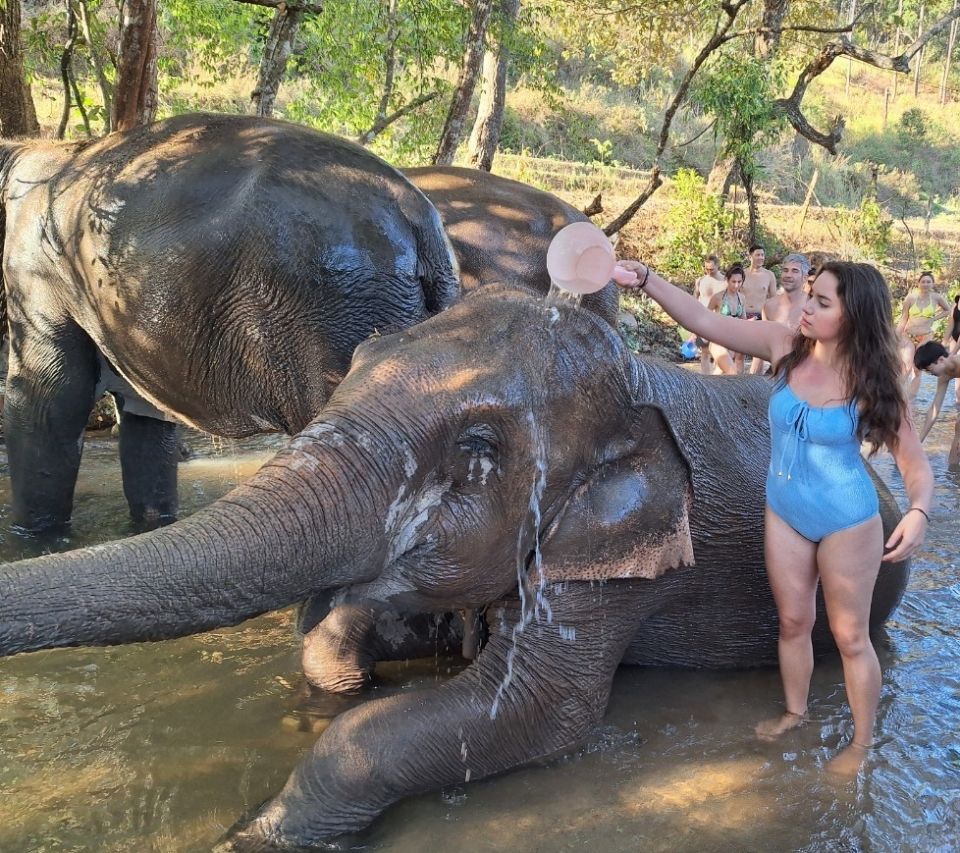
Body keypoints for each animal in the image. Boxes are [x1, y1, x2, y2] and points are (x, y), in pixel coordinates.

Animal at [0, 286, 908, 844]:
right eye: (352, 366)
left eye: (476, 448)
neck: (632, 377)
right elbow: (364, 633)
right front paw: (342, 675)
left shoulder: (627, 565)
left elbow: (542, 710)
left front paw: (255, 836)